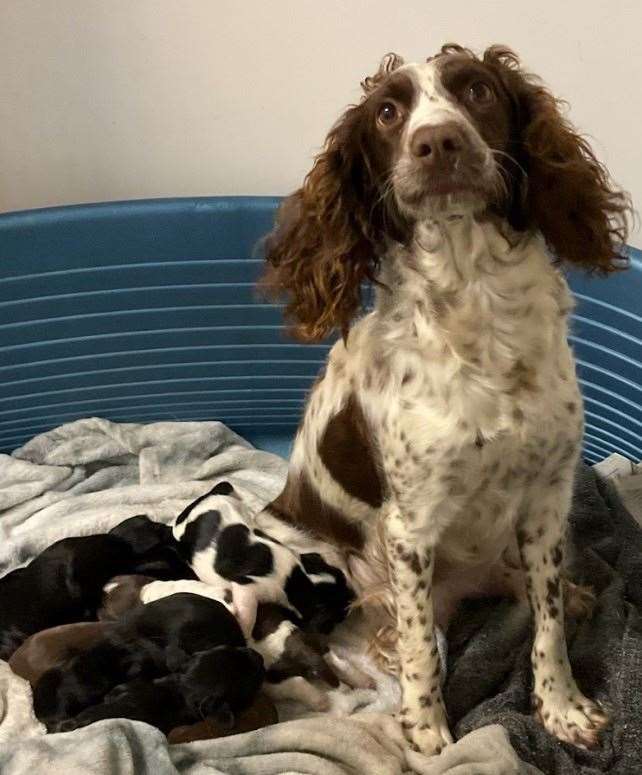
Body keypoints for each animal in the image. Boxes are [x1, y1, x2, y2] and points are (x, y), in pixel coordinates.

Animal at [258, 45, 628, 756]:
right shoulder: (411, 529)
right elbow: (422, 650)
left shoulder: (547, 499)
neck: (477, 300)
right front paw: (427, 729)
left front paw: (561, 708)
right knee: (397, 626)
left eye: (478, 90)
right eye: (386, 112)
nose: (438, 142)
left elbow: (546, 624)